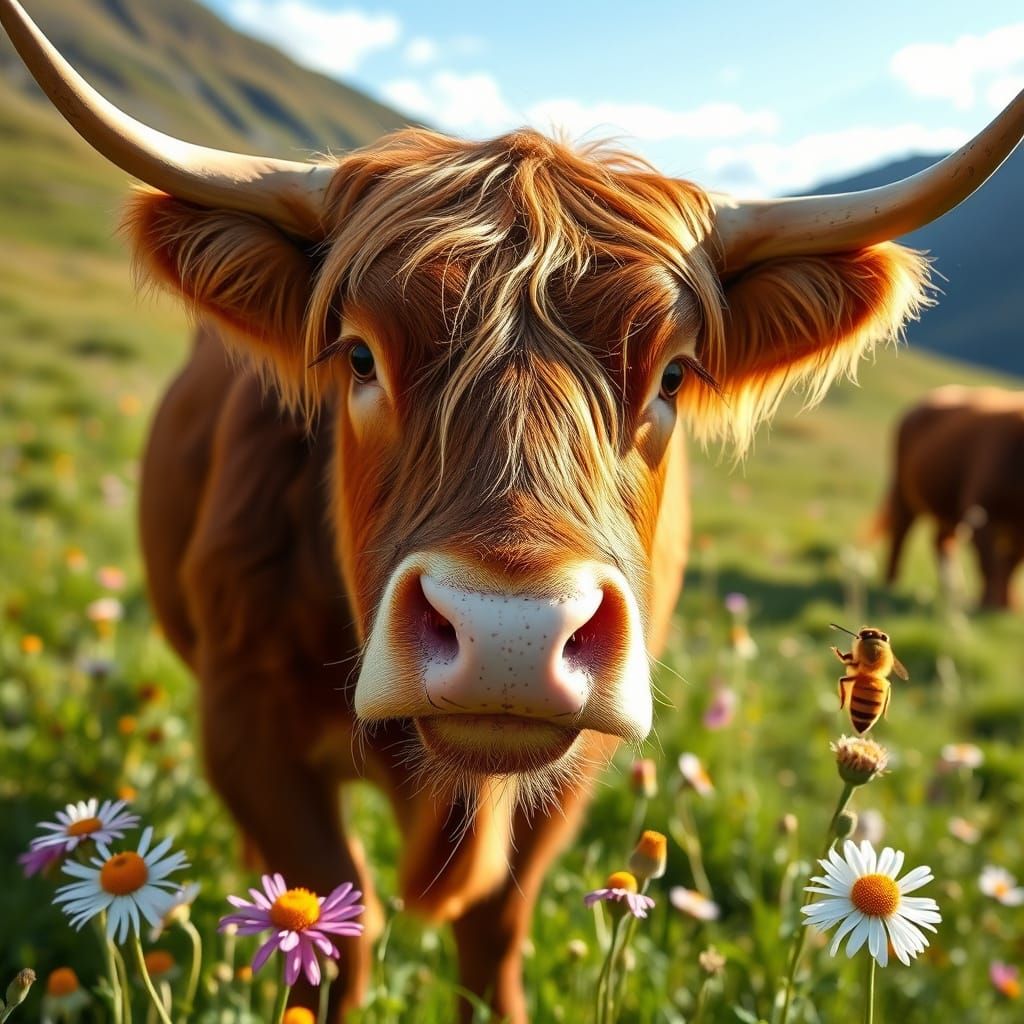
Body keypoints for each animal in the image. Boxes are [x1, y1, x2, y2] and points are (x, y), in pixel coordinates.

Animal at [881, 386, 1024, 609]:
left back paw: (952, 593)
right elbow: (989, 564)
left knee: (941, 542)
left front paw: (1004, 604)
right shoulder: (980, 510)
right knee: (901, 532)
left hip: (948, 511)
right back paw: (891, 584)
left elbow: (1010, 565)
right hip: (903, 489)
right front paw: (988, 604)